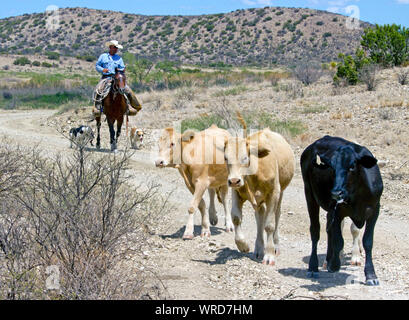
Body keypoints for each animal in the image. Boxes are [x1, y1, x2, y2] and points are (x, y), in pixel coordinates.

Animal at [222, 122, 294, 264]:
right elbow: (236, 217)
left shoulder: (274, 193)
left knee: (276, 215)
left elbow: (270, 225)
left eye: (245, 158)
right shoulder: (236, 192)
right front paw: (243, 245)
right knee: (260, 216)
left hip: (280, 193)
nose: (234, 180)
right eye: (226, 158)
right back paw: (259, 249)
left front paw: (269, 255)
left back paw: (276, 247)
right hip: (258, 201)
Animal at [300, 135, 382, 284]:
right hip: (309, 193)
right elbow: (339, 240)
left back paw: (327, 259)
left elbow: (368, 241)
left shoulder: (374, 210)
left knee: (328, 229)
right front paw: (334, 264)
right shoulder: (337, 211)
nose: (336, 193)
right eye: (332, 168)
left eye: (352, 166)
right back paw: (313, 267)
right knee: (315, 231)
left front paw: (371, 275)